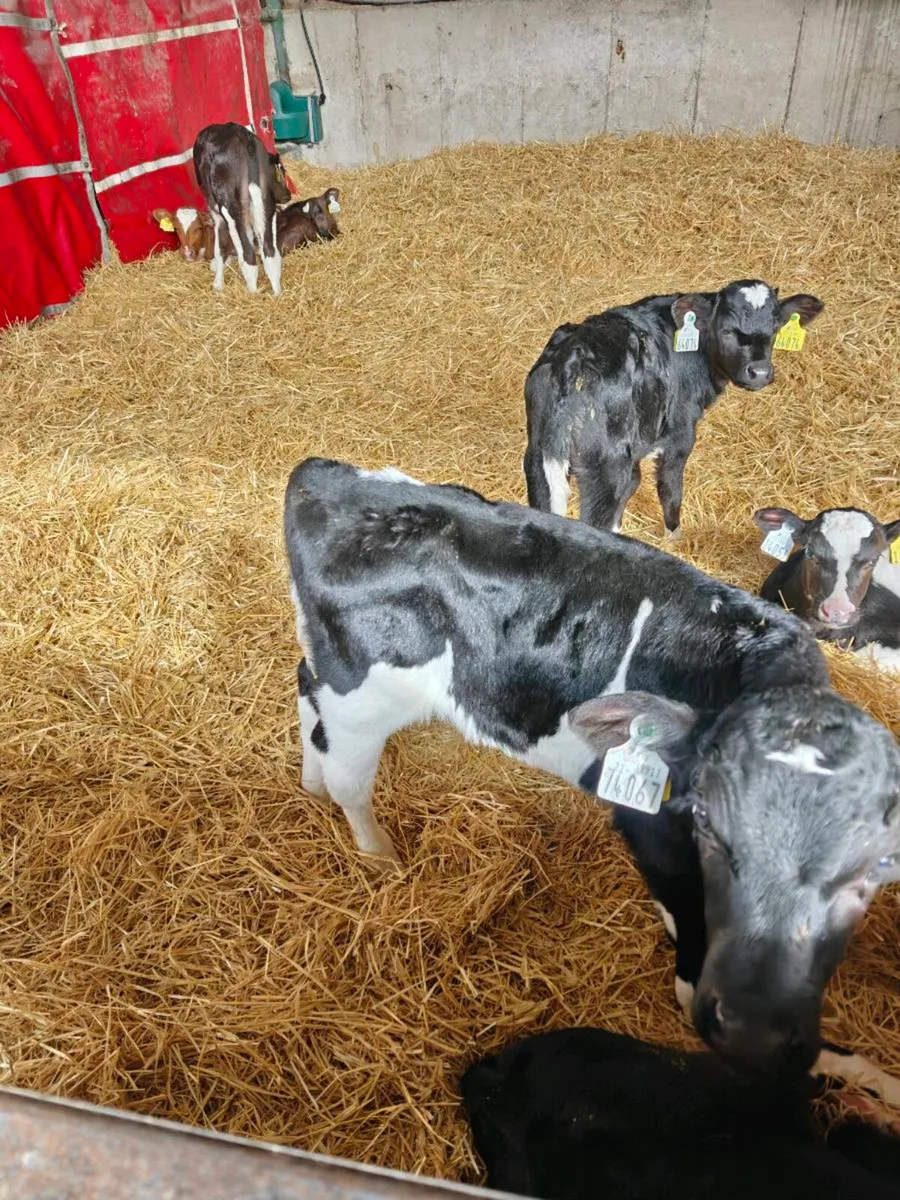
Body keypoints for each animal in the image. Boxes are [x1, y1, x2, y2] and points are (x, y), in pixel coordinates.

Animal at [192, 123, 292, 295]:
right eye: (281, 173)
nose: (288, 195)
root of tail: (244, 139)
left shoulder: (215, 211)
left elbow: (219, 247)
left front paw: (218, 284)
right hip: (266, 203)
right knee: (270, 251)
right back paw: (277, 294)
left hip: (230, 207)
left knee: (248, 256)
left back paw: (252, 293)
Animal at [523, 281, 824, 537]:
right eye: (726, 330)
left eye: (775, 329)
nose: (759, 372)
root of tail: (576, 355)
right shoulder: (680, 434)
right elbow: (670, 485)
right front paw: (673, 533)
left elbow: (635, 481)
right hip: (606, 468)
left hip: (538, 455)